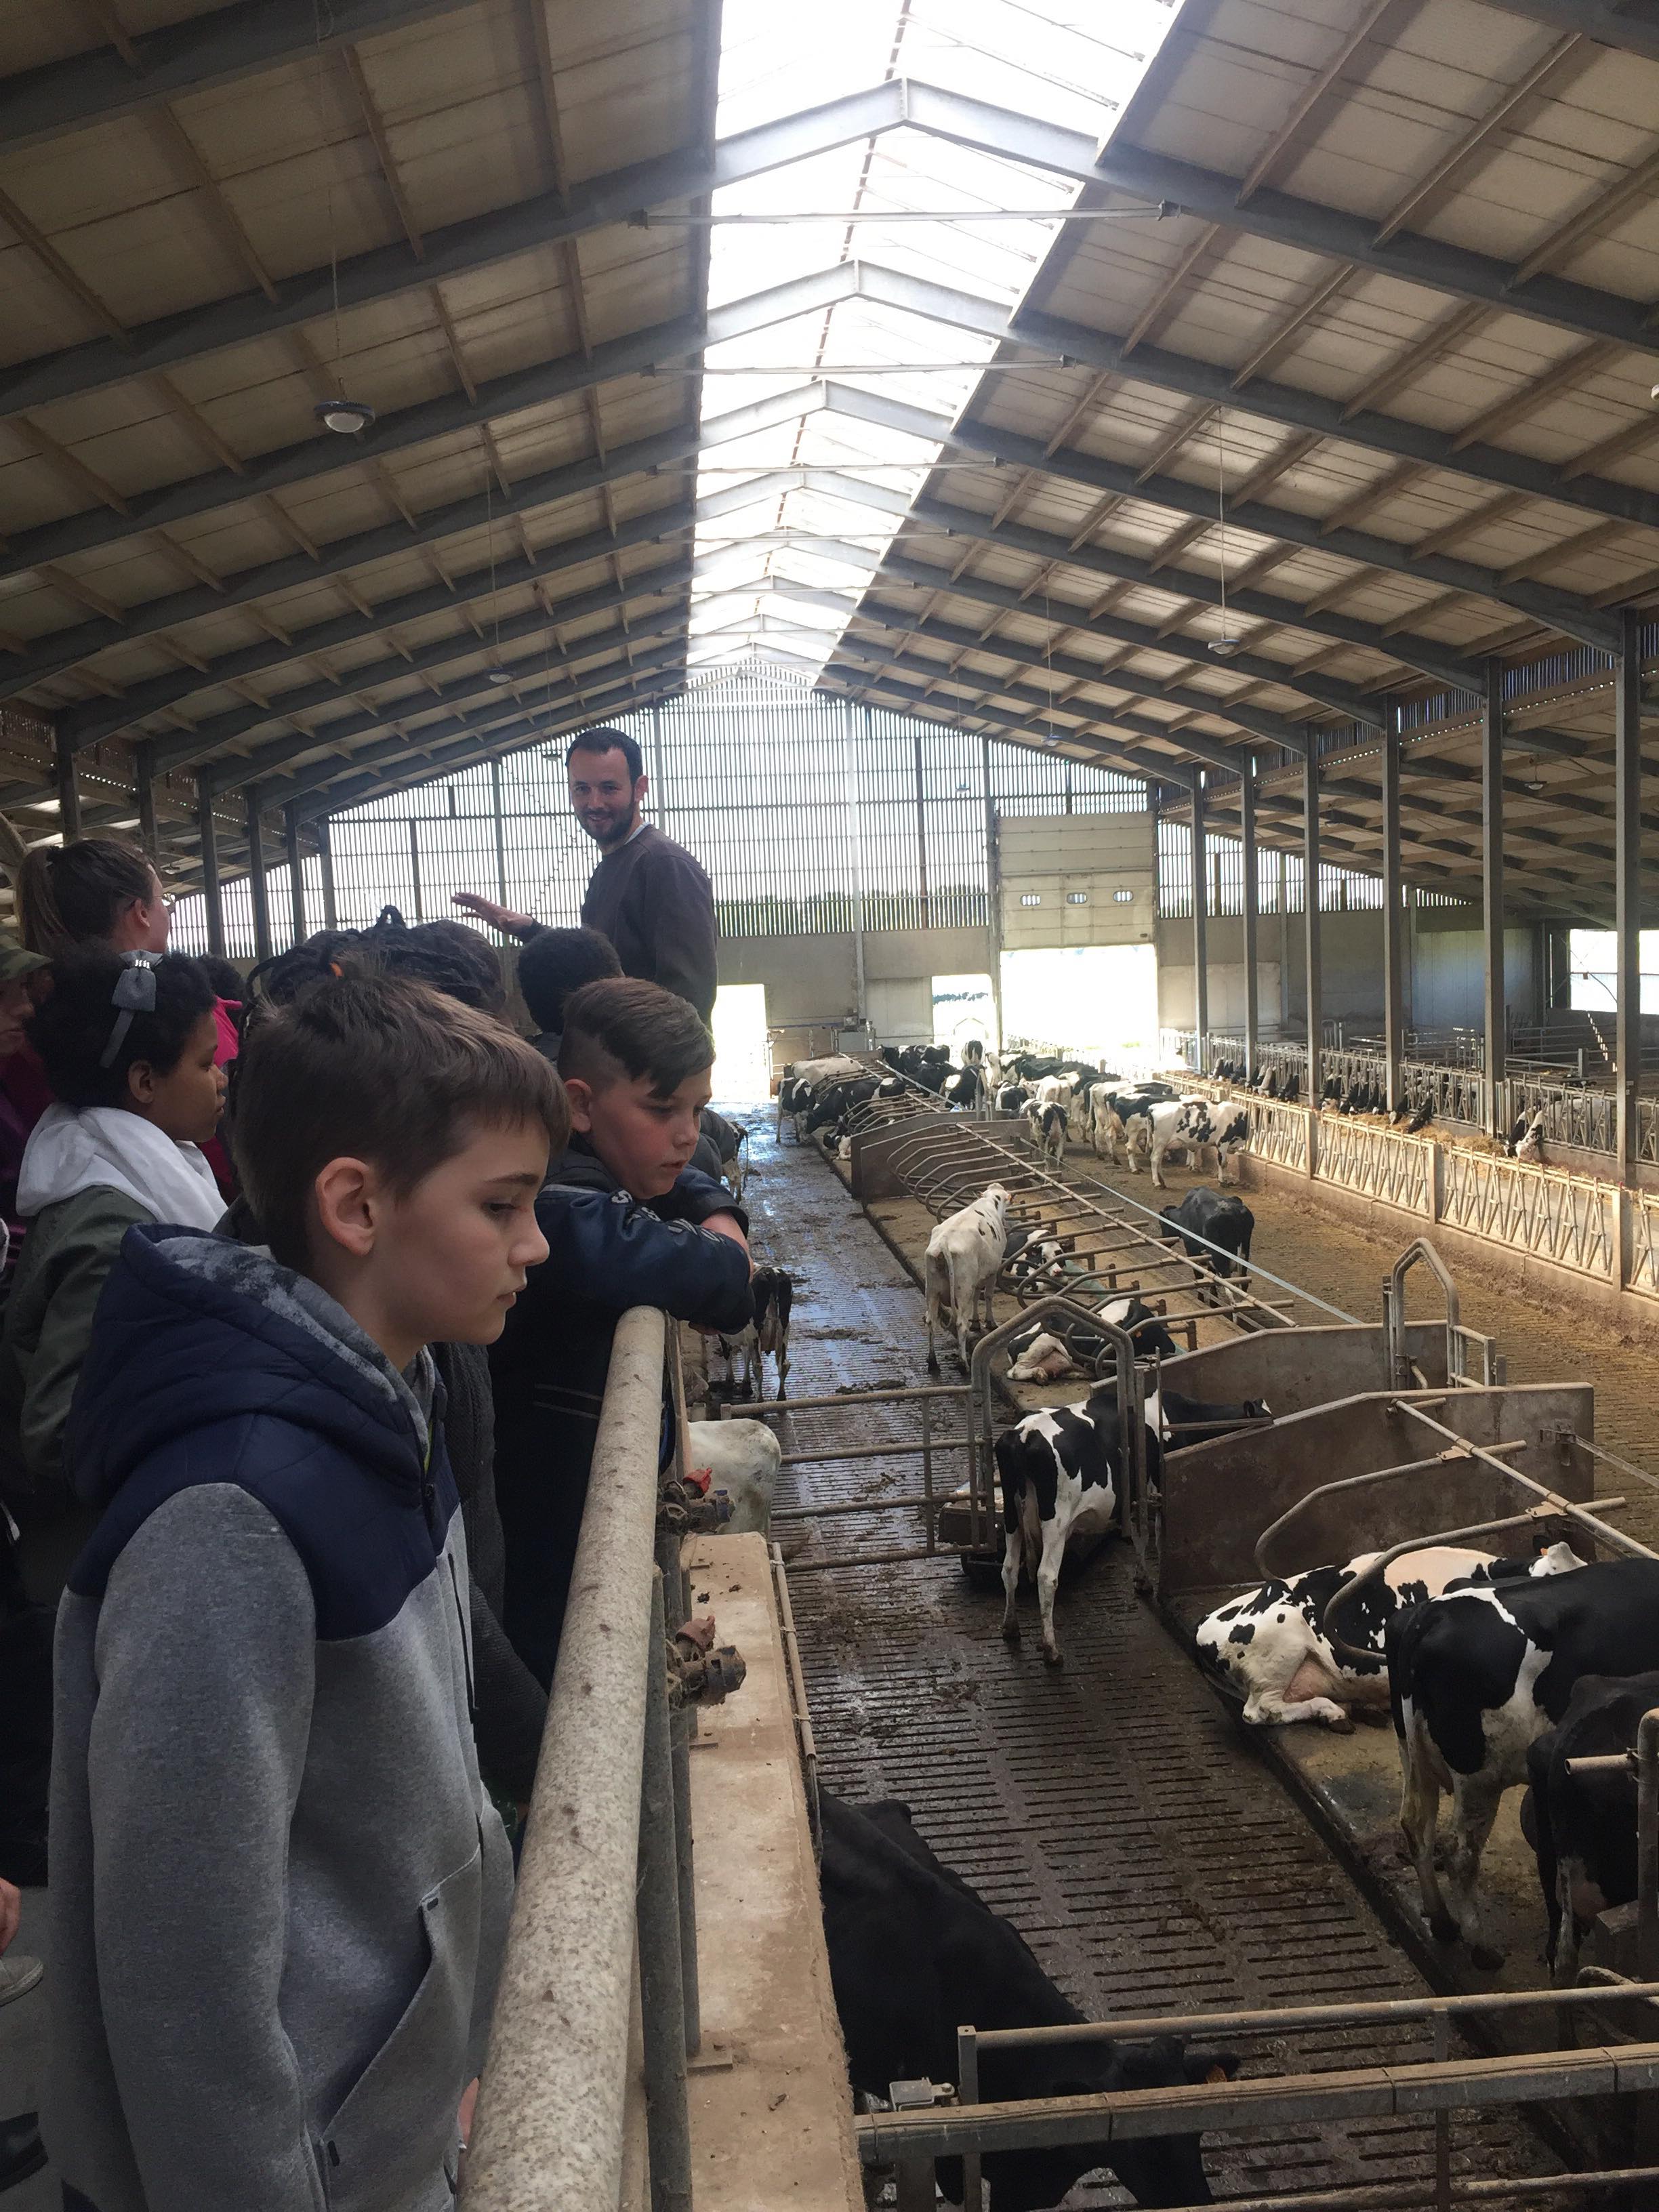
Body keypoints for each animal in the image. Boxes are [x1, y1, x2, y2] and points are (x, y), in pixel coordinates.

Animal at [925, 1184, 1010, 1375]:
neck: (989, 1202)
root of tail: (944, 1243)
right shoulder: (993, 1270)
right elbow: (988, 1296)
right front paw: (990, 1322)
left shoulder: (977, 1278)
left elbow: (978, 1295)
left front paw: (977, 1322)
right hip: (962, 1290)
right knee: (961, 1325)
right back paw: (963, 1364)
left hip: (932, 1290)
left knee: (931, 1321)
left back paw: (933, 1363)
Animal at [997, 1381, 1159, 1665]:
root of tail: (1025, 1434)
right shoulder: (1146, 1493)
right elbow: (1147, 1536)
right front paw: (1144, 1581)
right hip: (1056, 1520)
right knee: (1046, 1577)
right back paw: (1052, 1651)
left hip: (1011, 1513)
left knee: (1009, 1568)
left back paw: (1011, 1628)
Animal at [1148, 1098, 1251, 1190]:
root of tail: (1153, 1107)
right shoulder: (1223, 1142)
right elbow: (1222, 1163)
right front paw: (1222, 1182)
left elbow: (1224, 1163)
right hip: (1161, 1141)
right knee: (1155, 1159)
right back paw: (1157, 1183)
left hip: (1163, 1144)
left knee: (1159, 1160)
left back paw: (1162, 1182)